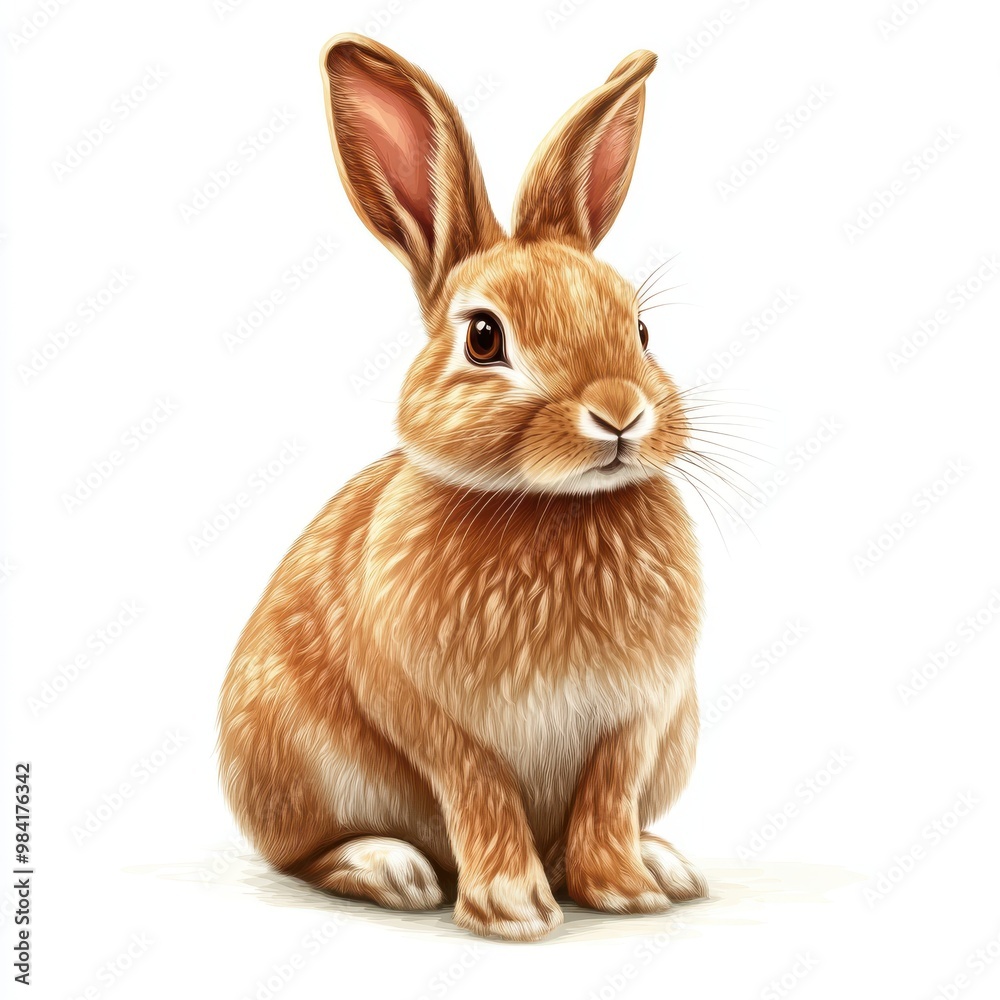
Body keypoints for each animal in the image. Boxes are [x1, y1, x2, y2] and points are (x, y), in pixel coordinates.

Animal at [218, 32, 709, 942]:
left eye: (640, 328)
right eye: (484, 337)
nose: (619, 412)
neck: (551, 509)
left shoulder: (638, 719)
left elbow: (606, 799)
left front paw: (626, 891)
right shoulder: (436, 720)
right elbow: (480, 794)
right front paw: (514, 912)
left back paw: (664, 861)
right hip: (292, 761)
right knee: (305, 854)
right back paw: (392, 868)